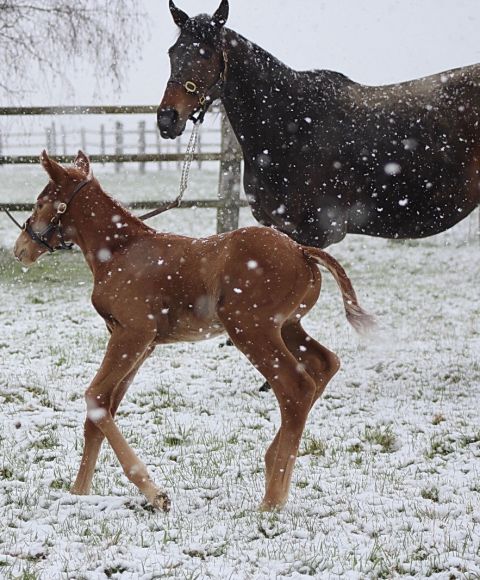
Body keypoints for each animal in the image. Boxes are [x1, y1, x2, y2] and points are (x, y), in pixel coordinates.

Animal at [12, 151, 372, 512]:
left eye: (41, 202)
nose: (20, 249)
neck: (119, 251)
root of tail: (301, 251)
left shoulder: (132, 333)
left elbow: (95, 398)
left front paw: (155, 493)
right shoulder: (141, 343)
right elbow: (103, 409)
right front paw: (78, 492)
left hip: (250, 328)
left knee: (295, 387)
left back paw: (272, 498)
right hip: (288, 326)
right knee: (325, 364)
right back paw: (272, 465)